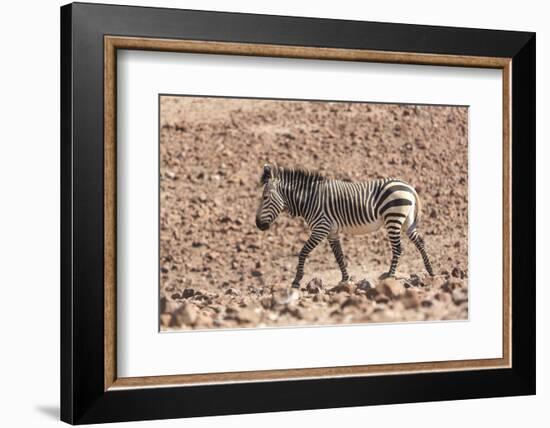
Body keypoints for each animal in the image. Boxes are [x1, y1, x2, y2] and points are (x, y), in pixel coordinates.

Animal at [258, 162, 436, 290]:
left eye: (265, 197)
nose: (258, 225)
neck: (310, 199)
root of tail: (409, 186)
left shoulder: (321, 228)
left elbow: (303, 252)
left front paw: (296, 281)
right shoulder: (331, 232)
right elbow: (339, 256)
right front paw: (345, 279)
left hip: (393, 218)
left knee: (398, 248)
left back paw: (390, 276)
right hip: (406, 221)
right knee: (420, 241)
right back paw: (430, 271)